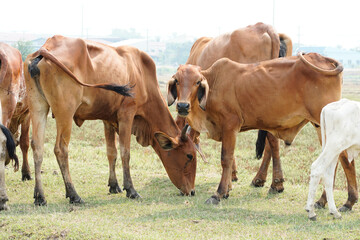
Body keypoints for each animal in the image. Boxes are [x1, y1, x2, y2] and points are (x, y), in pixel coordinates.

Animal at [24, 34, 198, 205]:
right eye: (189, 155)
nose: (192, 191)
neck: (141, 73)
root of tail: (45, 48)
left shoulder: (107, 119)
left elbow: (111, 152)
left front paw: (114, 185)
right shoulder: (127, 114)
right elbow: (125, 152)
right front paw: (131, 190)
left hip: (38, 107)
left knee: (37, 147)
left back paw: (40, 196)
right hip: (65, 112)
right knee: (61, 149)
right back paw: (73, 194)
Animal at [169, 53, 358, 209]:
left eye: (197, 82)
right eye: (177, 80)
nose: (183, 106)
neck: (214, 83)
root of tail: (325, 59)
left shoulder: (230, 125)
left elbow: (226, 158)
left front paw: (219, 194)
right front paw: (228, 190)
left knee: (341, 158)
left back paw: (343, 201)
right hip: (321, 125)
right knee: (338, 159)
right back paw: (335, 201)